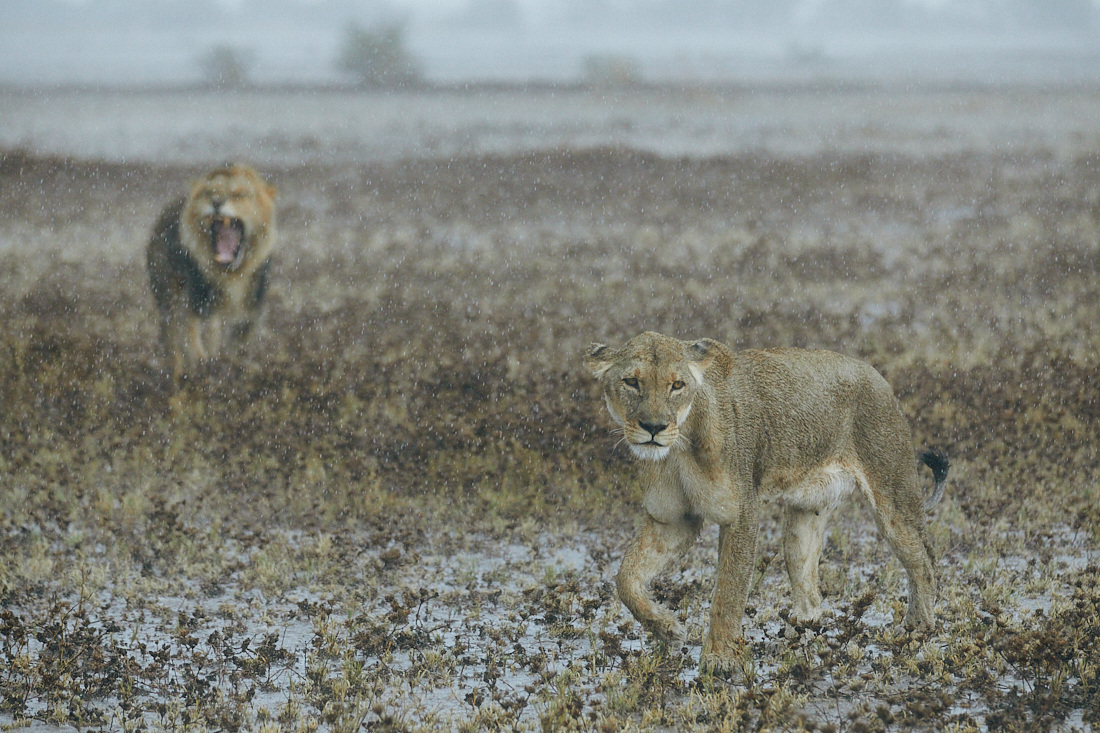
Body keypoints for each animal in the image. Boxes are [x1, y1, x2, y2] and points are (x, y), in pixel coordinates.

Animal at [147, 162, 277, 378]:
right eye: (210, 193)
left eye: (239, 194)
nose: (216, 202)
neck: (231, 273)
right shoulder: (198, 294)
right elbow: (194, 329)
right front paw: (200, 361)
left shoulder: (253, 303)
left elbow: (241, 336)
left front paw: (239, 364)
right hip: (166, 291)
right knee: (171, 333)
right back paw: (177, 371)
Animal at [589, 330, 950, 673]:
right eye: (631, 382)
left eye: (677, 385)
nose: (653, 427)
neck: (678, 448)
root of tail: (879, 376)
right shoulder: (673, 520)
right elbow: (625, 579)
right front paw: (667, 628)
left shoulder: (741, 513)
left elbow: (728, 591)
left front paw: (720, 659)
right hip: (804, 519)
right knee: (809, 585)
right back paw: (797, 637)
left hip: (892, 494)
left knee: (925, 560)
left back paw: (916, 631)